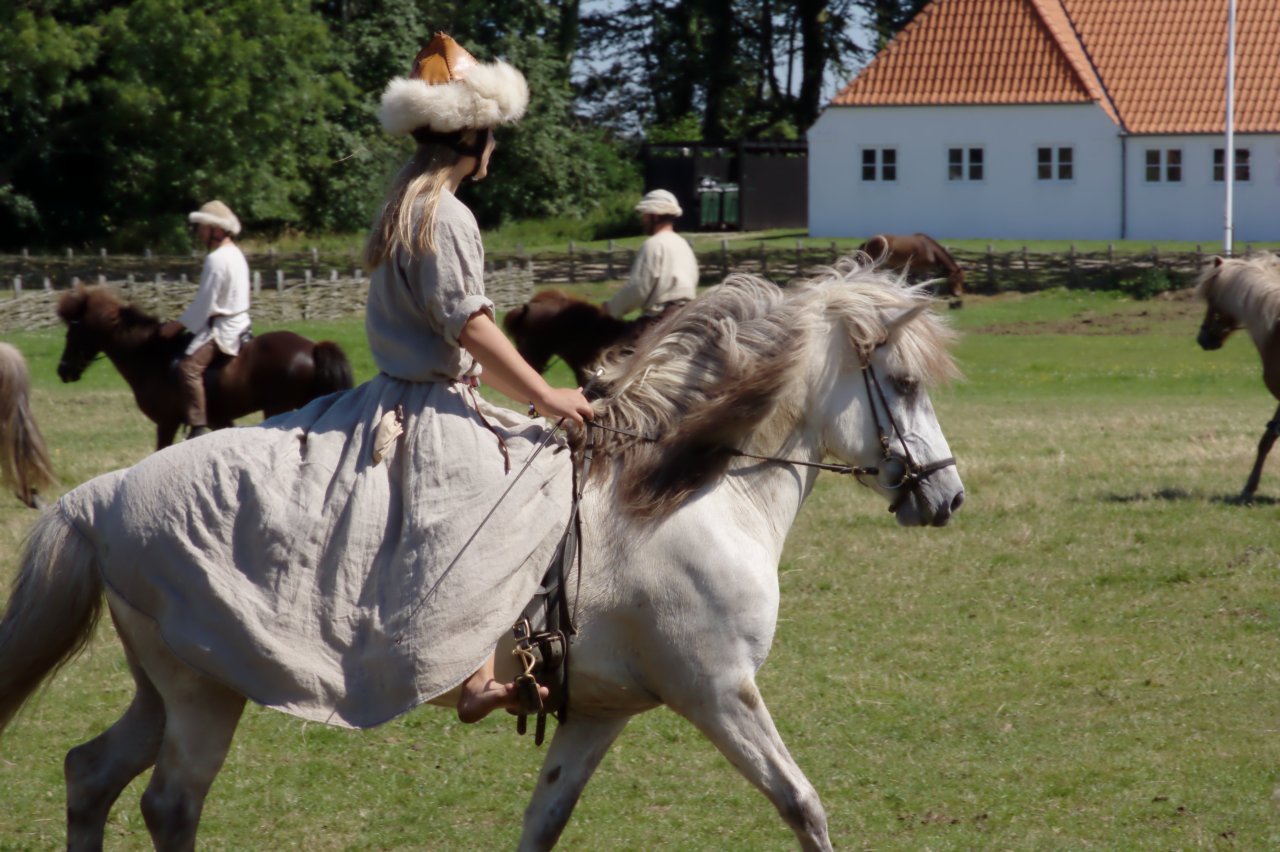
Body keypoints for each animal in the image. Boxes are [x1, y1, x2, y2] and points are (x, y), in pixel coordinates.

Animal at [56, 281, 355, 447]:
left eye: (72, 332)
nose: (63, 370)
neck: (152, 357)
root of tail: (313, 347)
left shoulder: (166, 422)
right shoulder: (219, 419)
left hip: (278, 408)